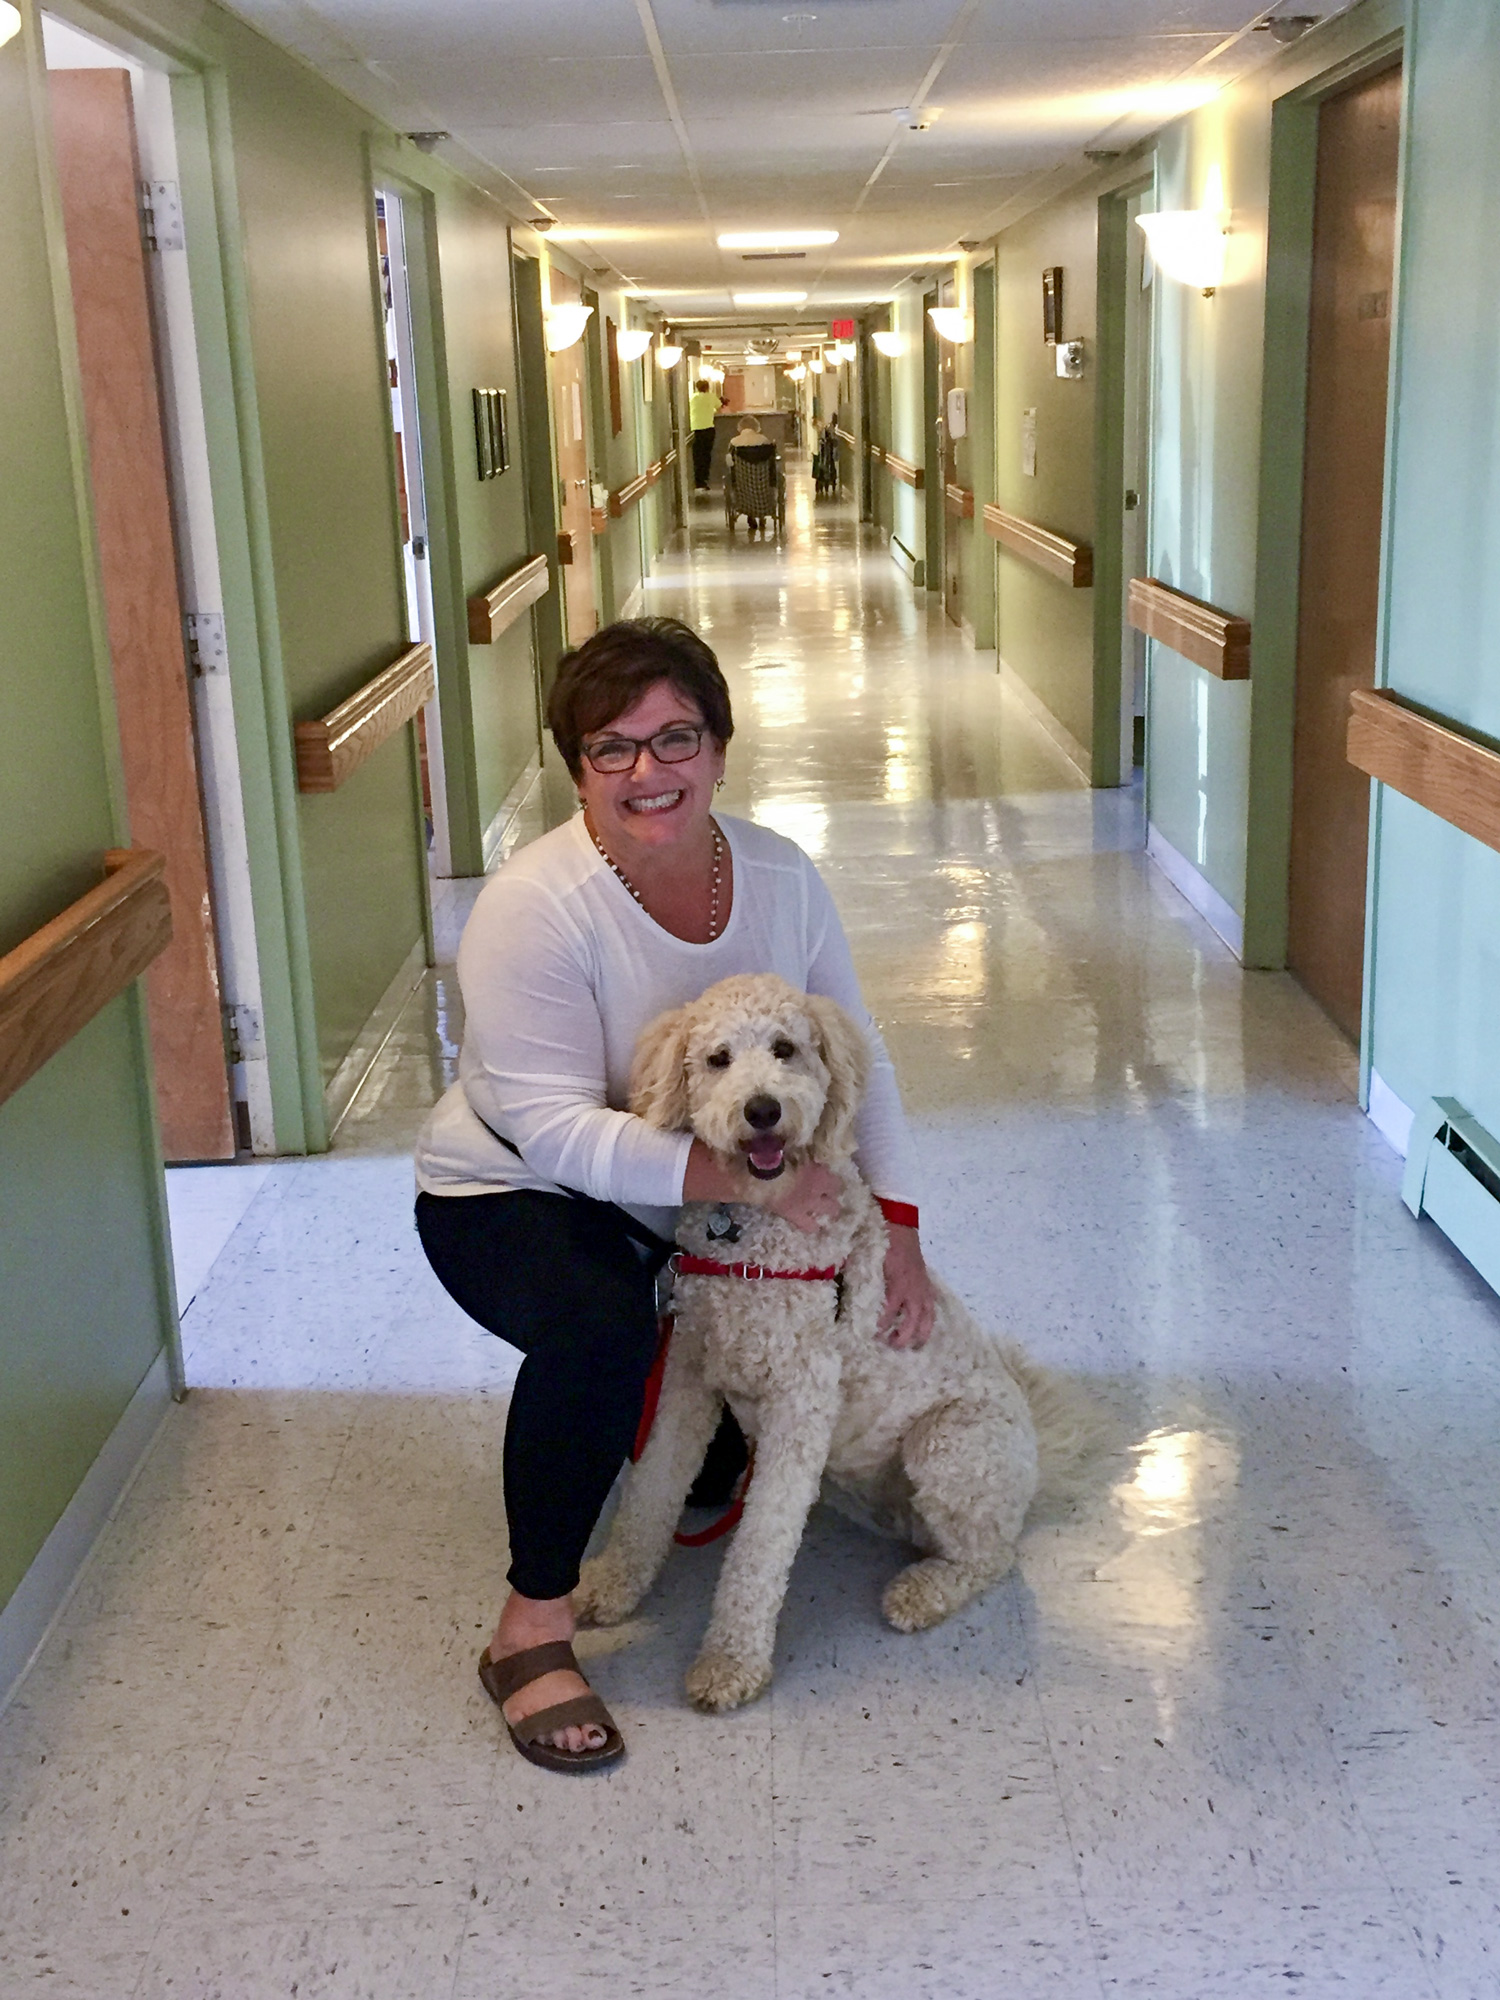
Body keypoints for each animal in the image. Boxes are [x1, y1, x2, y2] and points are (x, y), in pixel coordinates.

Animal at [573, 972, 1085, 1712]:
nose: (762, 1110)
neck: (756, 1247)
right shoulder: (687, 1379)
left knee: (992, 1555)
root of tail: (1036, 1459)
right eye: (718, 1058)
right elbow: (651, 1489)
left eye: (785, 1048)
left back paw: (921, 1593)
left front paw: (730, 1662)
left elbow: (759, 1548)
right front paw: (613, 1583)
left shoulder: (799, 1407)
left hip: (951, 1445)